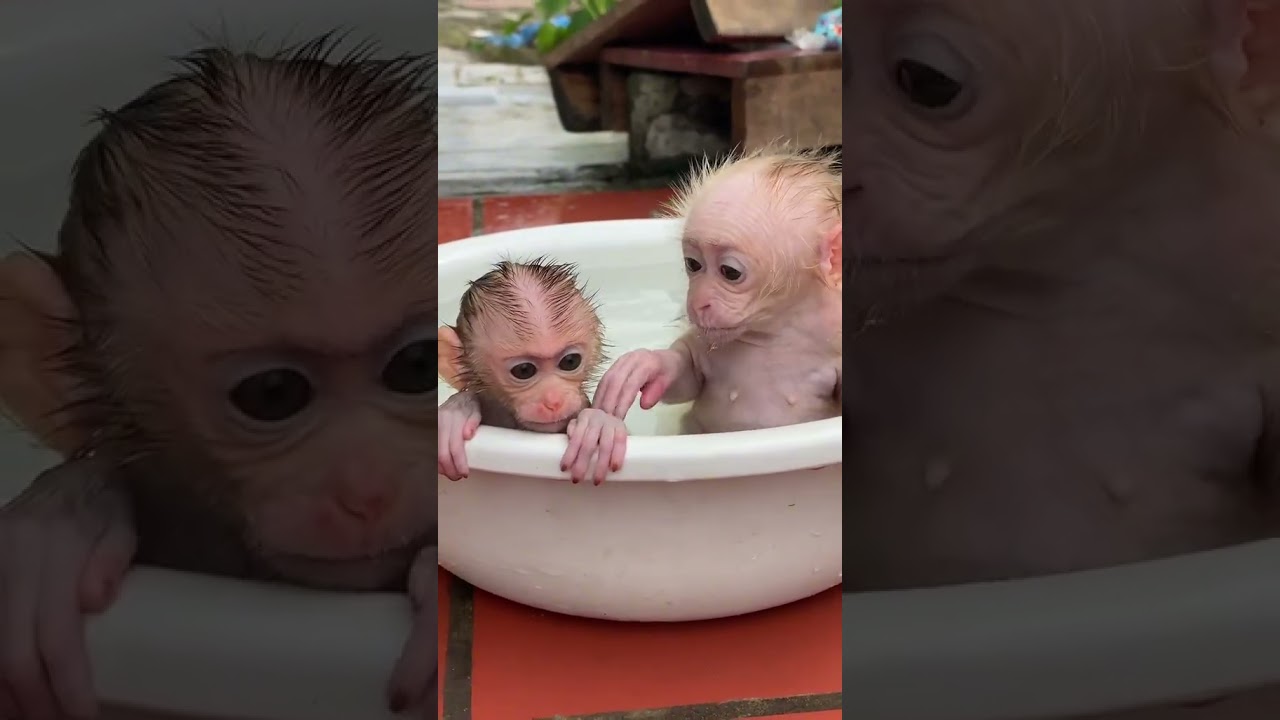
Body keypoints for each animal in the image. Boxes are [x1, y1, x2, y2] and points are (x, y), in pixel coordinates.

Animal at [592, 148, 843, 436]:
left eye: (730, 272)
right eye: (693, 264)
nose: (698, 303)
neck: (776, 328)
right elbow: (685, 378)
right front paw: (649, 365)